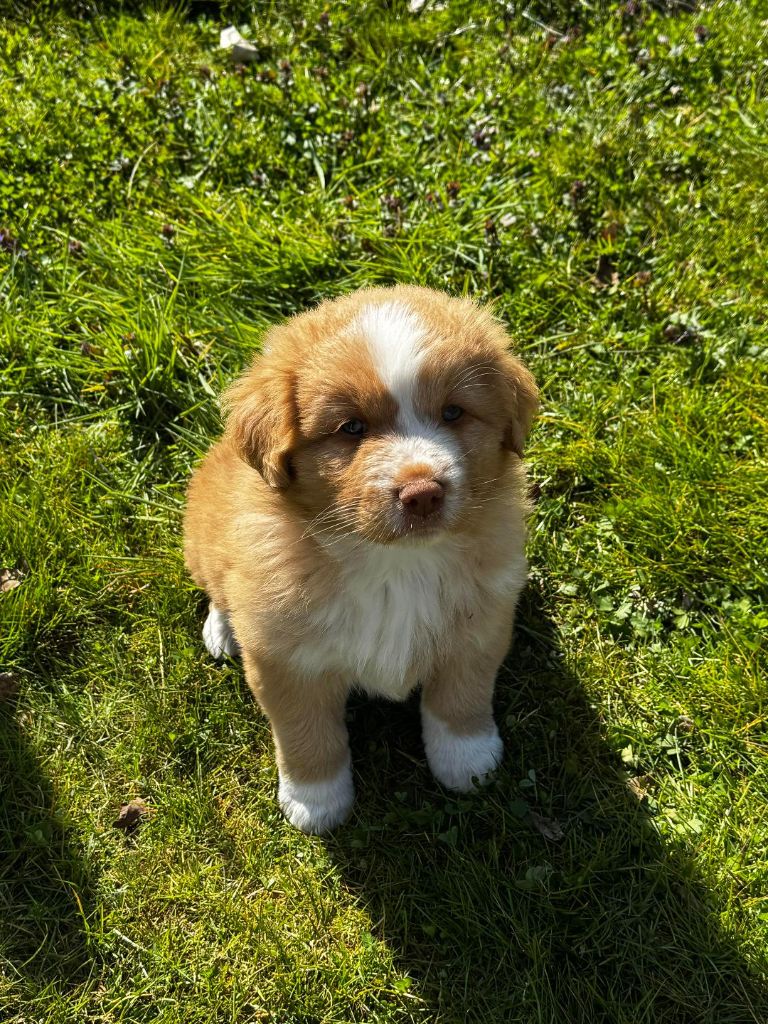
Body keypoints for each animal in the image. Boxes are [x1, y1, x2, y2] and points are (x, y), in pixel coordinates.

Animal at [183, 286, 538, 834]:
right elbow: (306, 734)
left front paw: (468, 761)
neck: (394, 565)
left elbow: (460, 698)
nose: (422, 493)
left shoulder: (480, 626)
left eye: (453, 413)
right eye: (351, 428)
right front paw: (315, 802)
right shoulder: (285, 661)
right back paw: (222, 630)